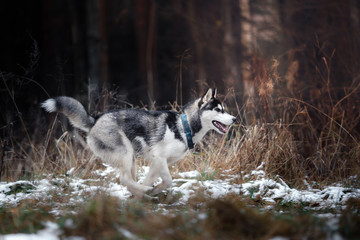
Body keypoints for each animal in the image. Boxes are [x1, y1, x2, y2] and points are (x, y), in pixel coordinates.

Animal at [41, 88, 236, 199]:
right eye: (218, 110)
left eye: (223, 109)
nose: (234, 119)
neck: (184, 126)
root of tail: (95, 119)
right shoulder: (159, 158)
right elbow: (168, 181)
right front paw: (152, 190)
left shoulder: (157, 162)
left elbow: (151, 180)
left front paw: (148, 191)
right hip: (126, 154)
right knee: (124, 179)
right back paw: (145, 193)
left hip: (132, 159)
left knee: (128, 181)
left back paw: (143, 194)